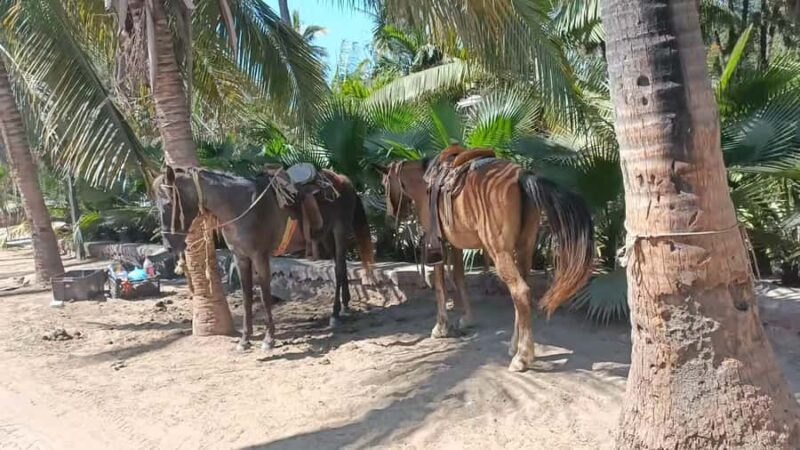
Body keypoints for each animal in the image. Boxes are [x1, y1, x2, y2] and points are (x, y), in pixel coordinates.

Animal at [154, 165, 374, 351]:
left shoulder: (260, 257)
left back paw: (336, 313)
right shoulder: (241, 258)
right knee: (341, 267)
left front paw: (269, 339)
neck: (240, 205)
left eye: (169, 203)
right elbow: (246, 298)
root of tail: (343, 179)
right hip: (326, 236)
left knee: (339, 269)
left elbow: (265, 296)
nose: (169, 245)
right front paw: (245, 340)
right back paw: (345, 306)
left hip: (339, 231)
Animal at [381, 149, 593, 371]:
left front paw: (440, 327)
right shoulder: (456, 244)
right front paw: (467, 319)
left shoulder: (435, 243)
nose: (391, 214)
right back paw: (514, 346)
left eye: (384, 185)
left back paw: (522, 357)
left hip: (500, 251)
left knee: (520, 291)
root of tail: (520, 176)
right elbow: (459, 278)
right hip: (524, 248)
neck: (424, 183)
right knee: (522, 294)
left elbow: (439, 285)